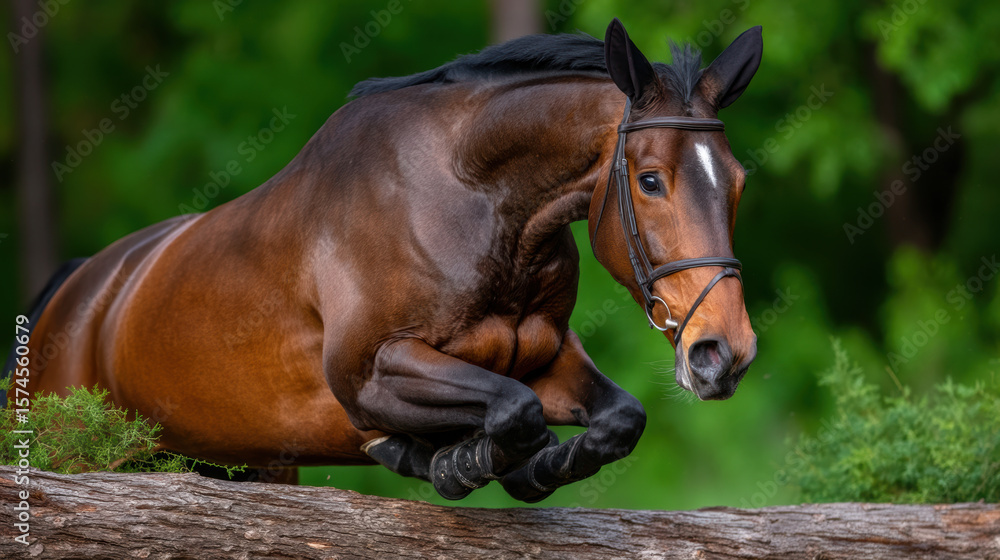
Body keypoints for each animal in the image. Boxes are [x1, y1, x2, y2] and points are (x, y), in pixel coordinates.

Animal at [7, 18, 761, 502]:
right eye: (651, 181)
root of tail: (75, 290)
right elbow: (514, 410)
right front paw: (466, 462)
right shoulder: (371, 372)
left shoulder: (544, 357)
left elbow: (616, 418)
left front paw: (519, 470)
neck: (482, 203)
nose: (724, 354)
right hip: (76, 450)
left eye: (739, 182)